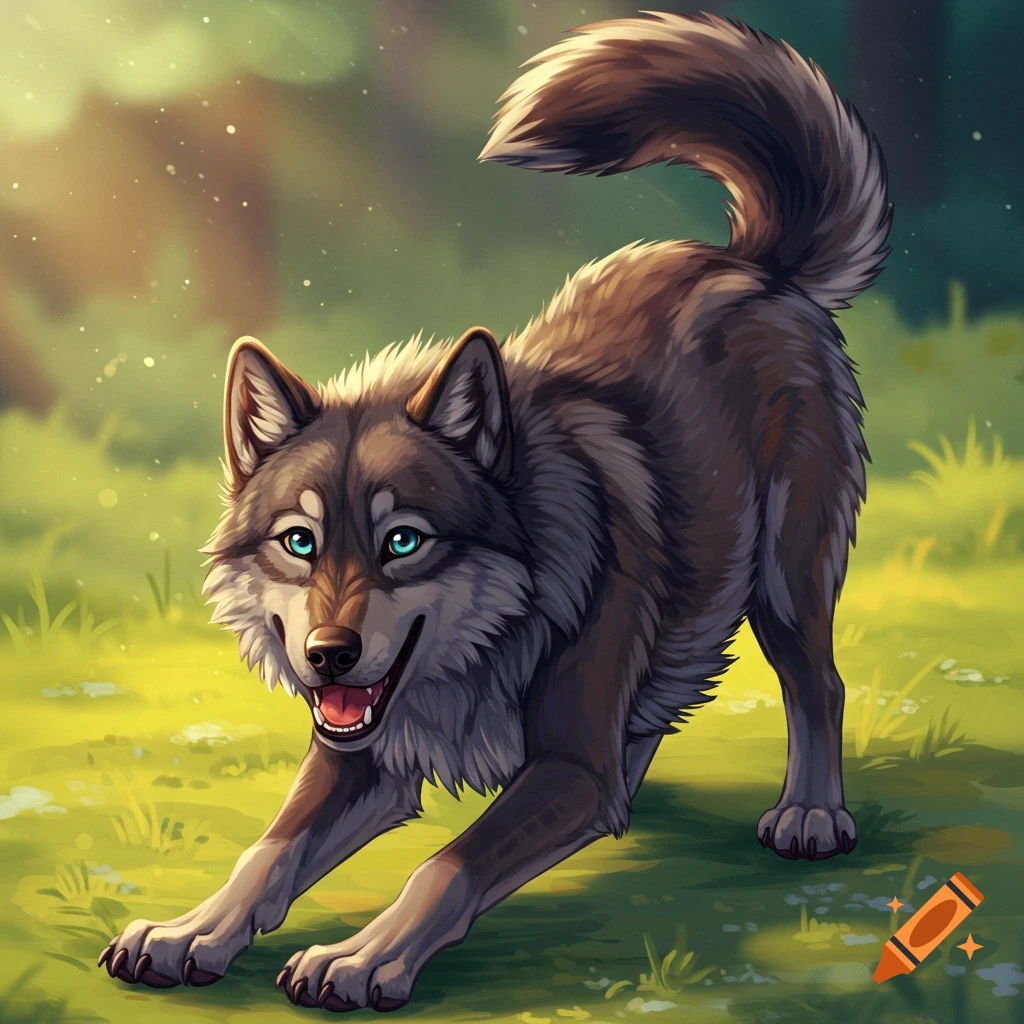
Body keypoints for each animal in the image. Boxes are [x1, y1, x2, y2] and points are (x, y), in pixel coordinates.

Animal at [98, 11, 890, 1012]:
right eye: (299, 542)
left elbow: (445, 864)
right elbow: (265, 852)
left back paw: (811, 813)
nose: (329, 655)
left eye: (403, 541)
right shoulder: (358, 753)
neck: (480, 655)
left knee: (817, 684)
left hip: (785, 581)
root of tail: (749, 263)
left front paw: (360, 956)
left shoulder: (563, 770)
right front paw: (188, 930)